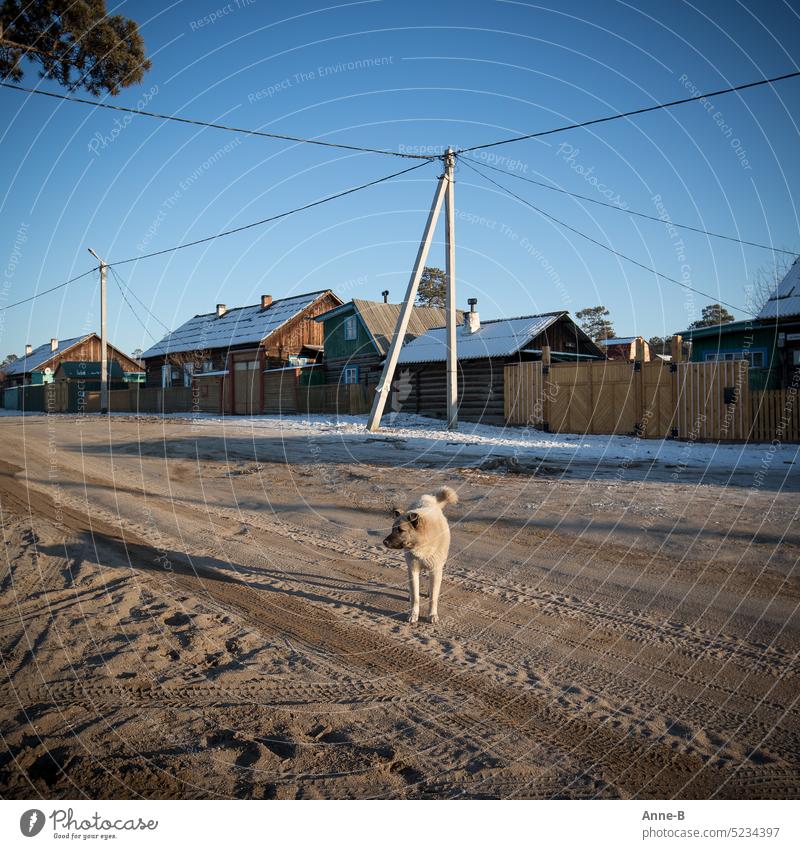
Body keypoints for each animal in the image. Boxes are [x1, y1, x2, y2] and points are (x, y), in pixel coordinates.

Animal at [384, 484, 460, 624]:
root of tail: (428, 499)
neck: (423, 543)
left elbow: (434, 597)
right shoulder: (413, 568)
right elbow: (415, 596)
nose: (384, 542)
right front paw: (413, 614)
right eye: (392, 529)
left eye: (401, 530)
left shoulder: (436, 570)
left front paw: (432, 615)